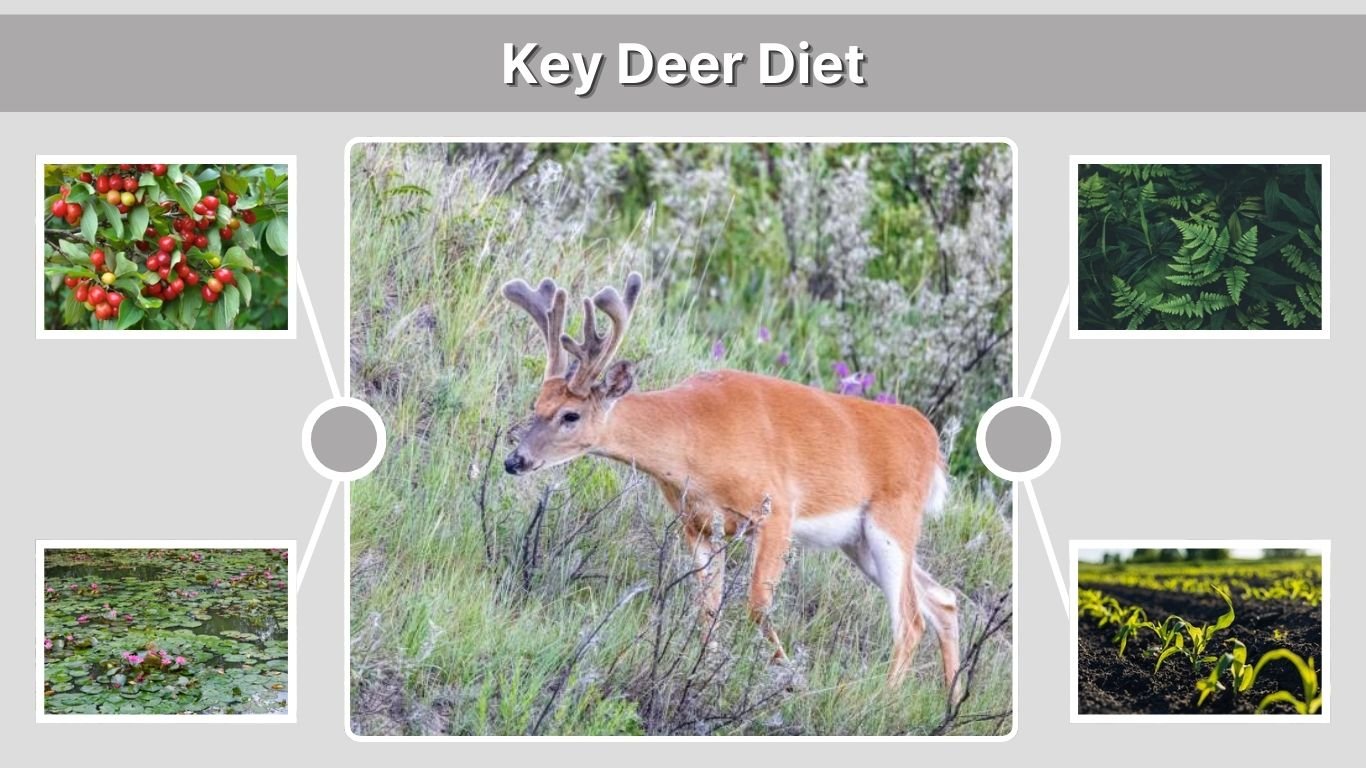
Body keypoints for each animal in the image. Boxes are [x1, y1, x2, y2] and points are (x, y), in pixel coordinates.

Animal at [500, 271, 960, 692]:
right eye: (537, 404)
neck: (694, 439)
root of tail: (928, 439)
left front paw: (789, 677)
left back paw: (884, 699)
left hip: (892, 519)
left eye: (570, 415)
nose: (514, 460)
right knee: (944, 600)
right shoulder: (698, 523)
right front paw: (703, 672)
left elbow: (757, 604)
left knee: (910, 619)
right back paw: (952, 704)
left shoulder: (777, 509)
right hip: (858, 540)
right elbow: (708, 607)